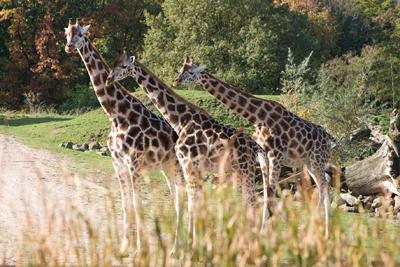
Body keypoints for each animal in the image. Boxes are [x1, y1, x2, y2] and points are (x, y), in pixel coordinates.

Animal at [64, 17, 186, 256]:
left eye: (81, 34)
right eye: (66, 35)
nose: (69, 47)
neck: (115, 114)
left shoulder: (134, 162)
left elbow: (139, 205)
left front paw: (140, 249)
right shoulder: (117, 162)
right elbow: (125, 204)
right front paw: (124, 247)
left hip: (181, 167)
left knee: (187, 201)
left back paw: (183, 247)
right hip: (167, 167)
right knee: (177, 199)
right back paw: (179, 246)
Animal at [105, 48, 268, 249]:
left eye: (124, 66)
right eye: (113, 63)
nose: (109, 79)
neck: (181, 120)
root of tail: (256, 147)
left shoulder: (189, 165)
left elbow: (191, 205)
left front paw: (187, 248)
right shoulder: (189, 167)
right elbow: (192, 205)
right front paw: (191, 246)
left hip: (244, 172)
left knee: (252, 204)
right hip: (241, 173)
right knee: (250, 205)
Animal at [173, 57, 346, 239]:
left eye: (191, 72)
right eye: (180, 70)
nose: (176, 81)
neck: (259, 117)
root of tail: (330, 137)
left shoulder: (276, 155)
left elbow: (270, 191)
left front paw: (267, 230)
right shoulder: (264, 155)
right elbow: (265, 190)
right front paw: (264, 230)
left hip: (317, 160)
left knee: (324, 190)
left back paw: (316, 231)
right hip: (310, 163)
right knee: (327, 188)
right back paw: (326, 232)